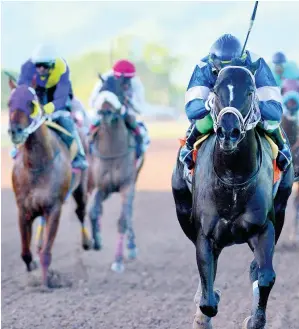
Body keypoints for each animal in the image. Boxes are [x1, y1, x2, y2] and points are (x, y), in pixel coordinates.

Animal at [8, 82, 92, 288]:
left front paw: (47, 282)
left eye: (31, 104)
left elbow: (47, 252)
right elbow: (25, 253)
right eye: (9, 103)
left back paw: (88, 241)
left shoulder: (54, 208)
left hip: (80, 189)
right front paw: (33, 268)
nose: (15, 131)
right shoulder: (23, 209)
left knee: (81, 211)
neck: (36, 165)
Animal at [172, 66, 294, 328]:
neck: (233, 178)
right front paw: (204, 311)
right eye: (216, 90)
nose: (229, 131)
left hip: (281, 208)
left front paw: (255, 319)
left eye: (249, 91)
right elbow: (208, 299)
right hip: (182, 210)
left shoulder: (263, 228)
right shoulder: (205, 234)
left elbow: (266, 276)